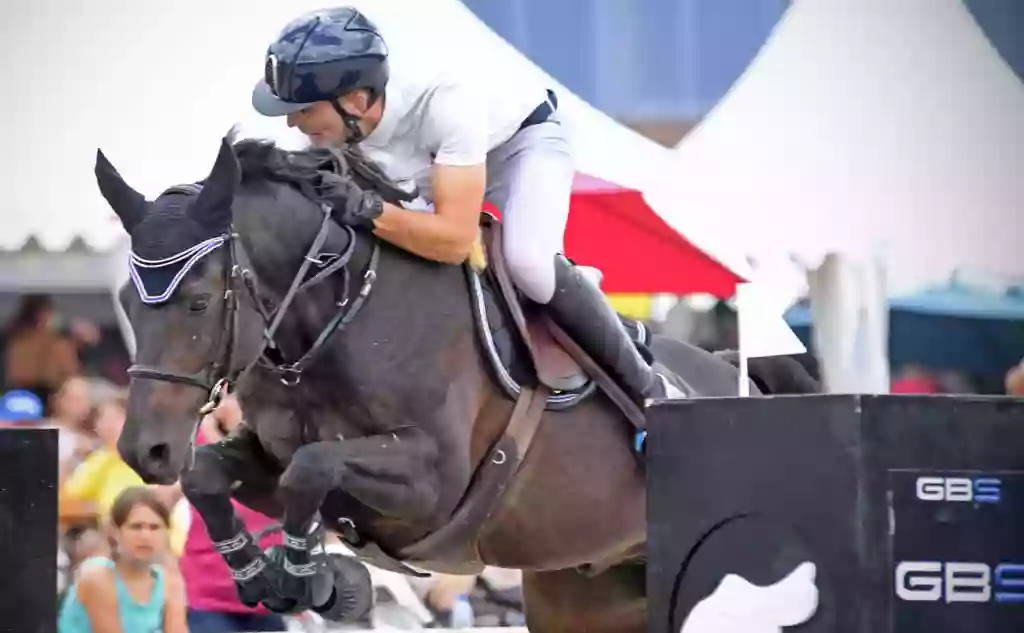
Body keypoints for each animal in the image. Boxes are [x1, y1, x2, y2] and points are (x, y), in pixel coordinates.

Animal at [96, 130, 815, 626]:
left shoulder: (432, 483)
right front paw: (258, 574)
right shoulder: (268, 458)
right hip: (587, 590)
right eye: (127, 302)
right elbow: (212, 476)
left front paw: (306, 577)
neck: (331, 321)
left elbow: (313, 465)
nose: (143, 450)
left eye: (197, 302)